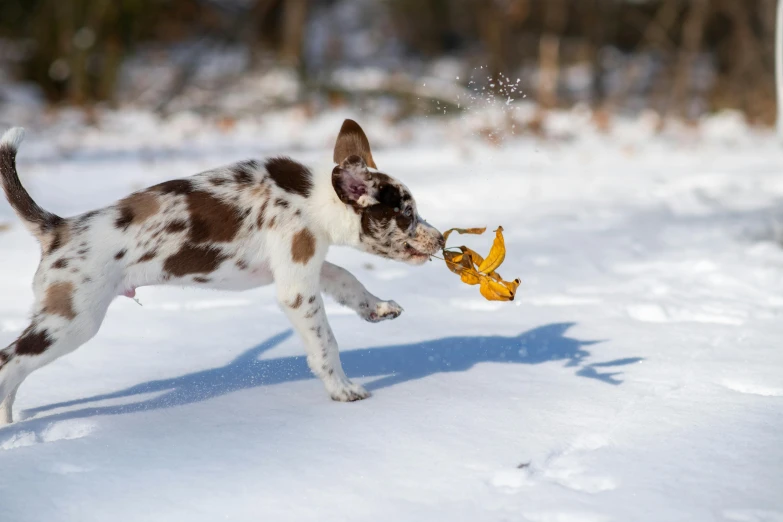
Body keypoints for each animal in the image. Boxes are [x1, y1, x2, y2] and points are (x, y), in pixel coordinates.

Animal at [0, 119, 440, 422]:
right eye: (406, 215)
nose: (439, 240)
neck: (314, 200)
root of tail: (58, 228)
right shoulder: (296, 288)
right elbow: (325, 344)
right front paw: (343, 390)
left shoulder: (302, 266)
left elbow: (347, 278)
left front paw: (377, 308)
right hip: (71, 322)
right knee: (10, 361)